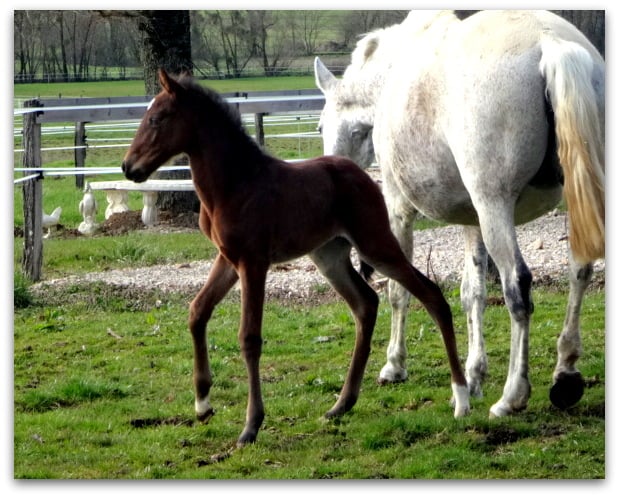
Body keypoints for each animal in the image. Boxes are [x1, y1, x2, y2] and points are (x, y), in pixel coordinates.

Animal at [121, 69, 470, 447]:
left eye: (156, 119)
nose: (128, 167)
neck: (235, 184)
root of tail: (364, 175)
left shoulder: (253, 262)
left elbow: (249, 337)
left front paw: (251, 425)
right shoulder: (227, 259)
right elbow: (197, 311)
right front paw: (202, 403)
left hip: (375, 245)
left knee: (431, 294)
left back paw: (461, 398)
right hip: (329, 256)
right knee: (366, 303)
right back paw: (342, 404)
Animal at [314, 10, 604, 418]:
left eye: (333, 128)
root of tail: (552, 42)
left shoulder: (399, 211)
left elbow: (399, 290)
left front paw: (394, 365)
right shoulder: (473, 222)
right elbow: (473, 293)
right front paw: (473, 376)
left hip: (495, 206)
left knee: (517, 285)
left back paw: (512, 395)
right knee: (580, 269)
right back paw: (565, 374)